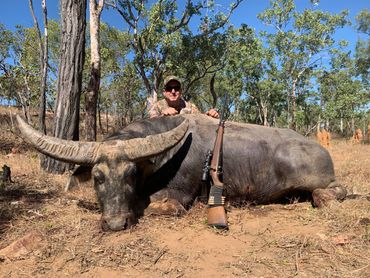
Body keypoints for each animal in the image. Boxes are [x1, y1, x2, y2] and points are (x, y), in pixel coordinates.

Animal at [15, 114, 346, 231]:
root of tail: (320, 149)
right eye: (98, 177)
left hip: (315, 177)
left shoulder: (175, 198)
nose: (116, 224)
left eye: (131, 174)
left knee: (334, 190)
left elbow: (155, 204)